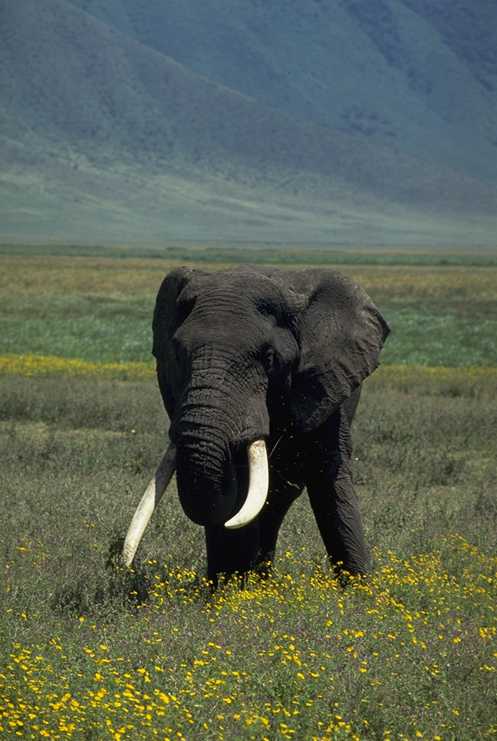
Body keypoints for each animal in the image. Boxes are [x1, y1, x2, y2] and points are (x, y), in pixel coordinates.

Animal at [122, 267, 389, 585]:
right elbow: (236, 490)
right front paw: (231, 590)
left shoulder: (326, 384)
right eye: (177, 353)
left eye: (269, 358)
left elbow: (329, 478)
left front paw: (361, 592)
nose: (123, 565)